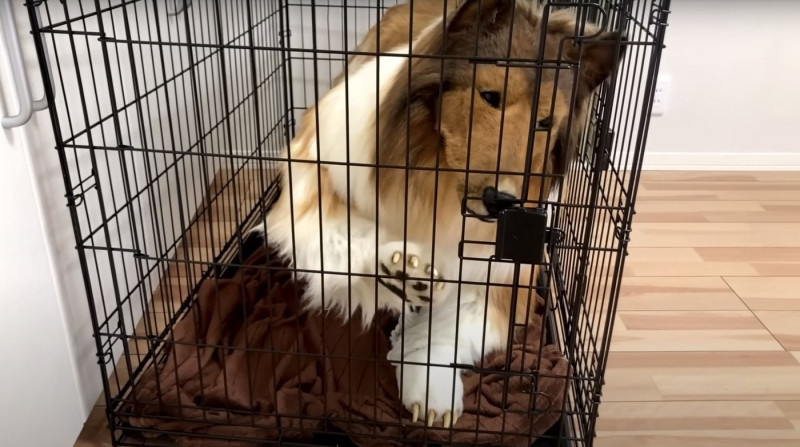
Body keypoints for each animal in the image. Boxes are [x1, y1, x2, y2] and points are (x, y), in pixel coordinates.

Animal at [250, 0, 624, 428]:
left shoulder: (503, 278)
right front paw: (401, 270)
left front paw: (430, 391)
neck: (437, 183)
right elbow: (346, 238)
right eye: (490, 95)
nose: (502, 201)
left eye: (545, 122)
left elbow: (447, 329)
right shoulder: (313, 172)